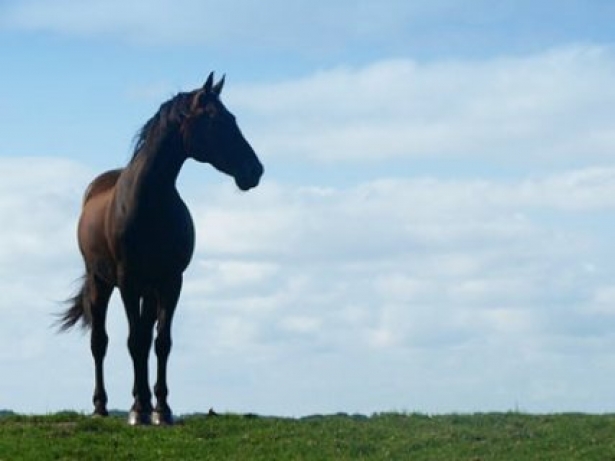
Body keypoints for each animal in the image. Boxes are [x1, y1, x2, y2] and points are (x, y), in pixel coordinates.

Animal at [58, 73, 268, 424]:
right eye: (215, 119)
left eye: (233, 118)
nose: (254, 170)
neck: (150, 202)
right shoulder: (128, 281)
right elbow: (135, 342)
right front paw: (139, 411)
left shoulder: (171, 282)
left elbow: (161, 342)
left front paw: (161, 409)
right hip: (101, 283)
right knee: (100, 342)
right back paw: (102, 406)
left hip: (149, 289)